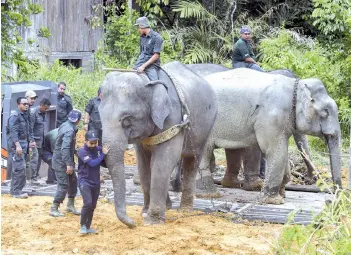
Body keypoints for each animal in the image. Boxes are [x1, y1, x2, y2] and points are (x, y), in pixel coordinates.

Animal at [99, 61, 219, 227]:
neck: (147, 81)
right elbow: (143, 165)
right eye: (99, 116)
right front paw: (144, 212)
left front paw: (152, 221)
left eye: (127, 120)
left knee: (192, 161)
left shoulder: (173, 120)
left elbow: (163, 162)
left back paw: (185, 210)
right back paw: (168, 206)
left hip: (206, 126)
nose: (133, 224)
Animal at [199, 67, 342, 203]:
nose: (332, 198)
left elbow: (282, 152)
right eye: (325, 112)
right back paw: (210, 194)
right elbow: (275, 152)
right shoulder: (271, 117)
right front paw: (275, 201)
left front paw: (282, 194)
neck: (295, 85)